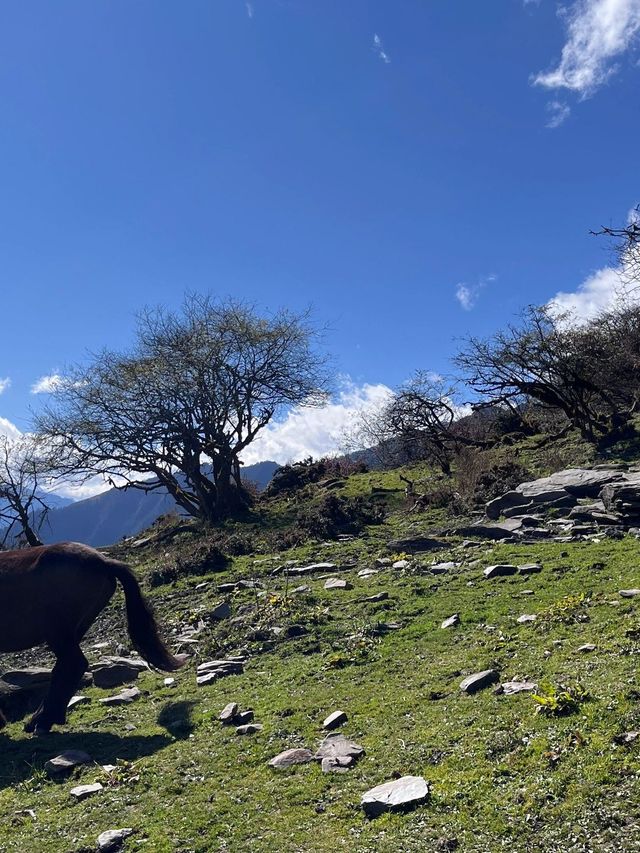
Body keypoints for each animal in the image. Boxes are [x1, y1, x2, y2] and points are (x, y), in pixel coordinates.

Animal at [0, 540, 185, 732]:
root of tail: (103, 562)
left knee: (72, 664)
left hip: (58, 630)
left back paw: (44, 720)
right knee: (65, 668)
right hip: (74, 629)